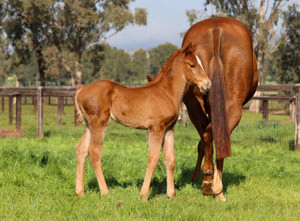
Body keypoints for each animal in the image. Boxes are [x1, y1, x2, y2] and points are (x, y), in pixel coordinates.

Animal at [74, 45, 212, 200]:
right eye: (192, 65)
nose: (207, 84)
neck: (166, 92)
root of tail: (82, 89)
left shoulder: (169, 129)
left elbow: (170, 160)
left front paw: (171, 195)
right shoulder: (156, 128)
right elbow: (153, 158)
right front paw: (144, 195)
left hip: (89, 124)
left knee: (81, 149)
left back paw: (80, 191)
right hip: (99, 123)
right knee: (94, 152)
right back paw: (105, 192)